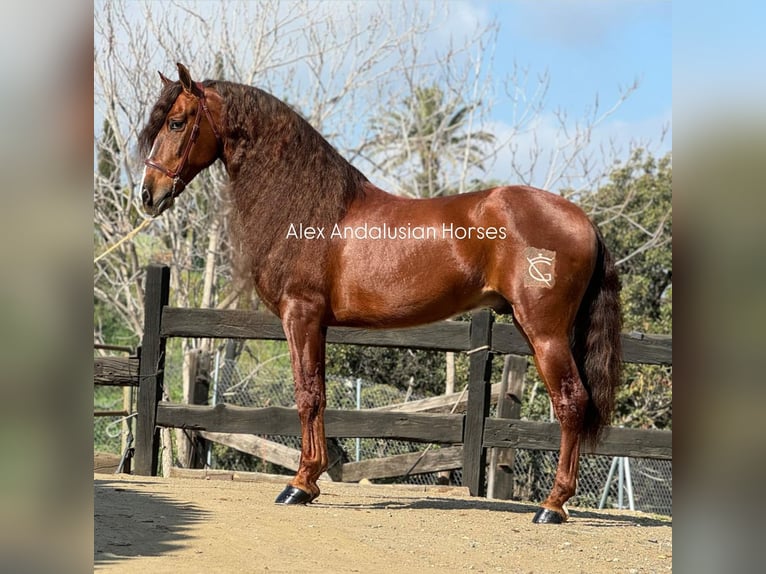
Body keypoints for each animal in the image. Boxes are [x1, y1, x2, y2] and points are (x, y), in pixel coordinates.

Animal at [138, 64, 624, 528]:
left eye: (177, 122)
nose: (148, 194)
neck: (309, 206)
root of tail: (583, 220)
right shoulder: (316, 323)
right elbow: (317, 392)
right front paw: (311, 480)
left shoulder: (301, 314)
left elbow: (307, 393)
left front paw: (299, 484)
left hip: (545, 333)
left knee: (571, 402)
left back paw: (553, 505)